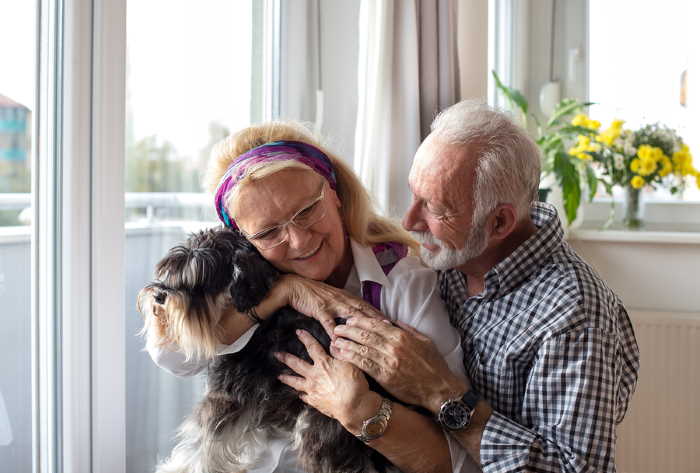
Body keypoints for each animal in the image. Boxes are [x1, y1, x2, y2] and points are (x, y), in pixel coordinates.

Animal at [139, 227, 396, 470]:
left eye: (202, 281)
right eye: (171, 270)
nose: (159, 296)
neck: (260, 327)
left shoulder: (223, 399)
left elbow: (201, 445)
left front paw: (178, 466)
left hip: (322, 428)